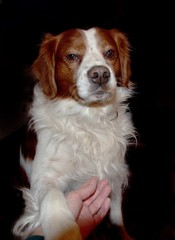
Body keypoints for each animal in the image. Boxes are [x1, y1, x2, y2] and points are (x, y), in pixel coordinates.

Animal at [13, 26, 136, 240]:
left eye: (110, 53)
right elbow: (53, 198)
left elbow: (116, 216)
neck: (89, 119)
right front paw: (65, 230)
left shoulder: (115, 173)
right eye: (71, 56)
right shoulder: (42, 179)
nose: (100, 74)